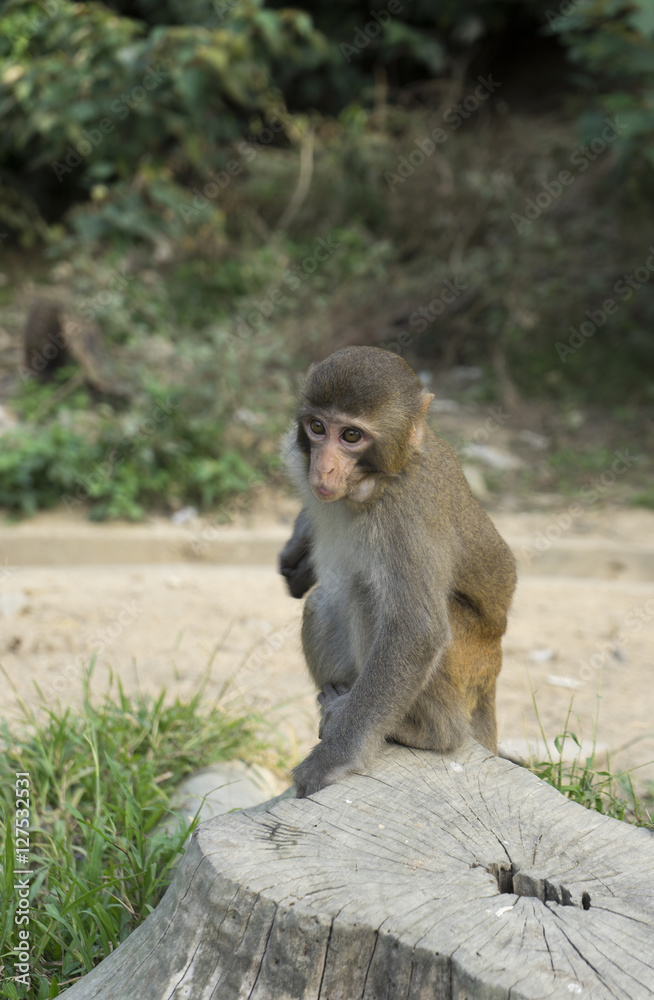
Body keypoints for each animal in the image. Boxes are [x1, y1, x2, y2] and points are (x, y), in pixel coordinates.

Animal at [282, 344, 516, 796]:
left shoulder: (404, 517)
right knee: (325, 600)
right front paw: (297, 548)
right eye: (317, 427)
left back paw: (430, 732)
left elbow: (414, 629)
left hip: (469, 658)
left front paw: (330, 761)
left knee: (368, 595)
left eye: (351, 436)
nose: (323, 468)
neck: (381, 480)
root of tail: (493, 669)